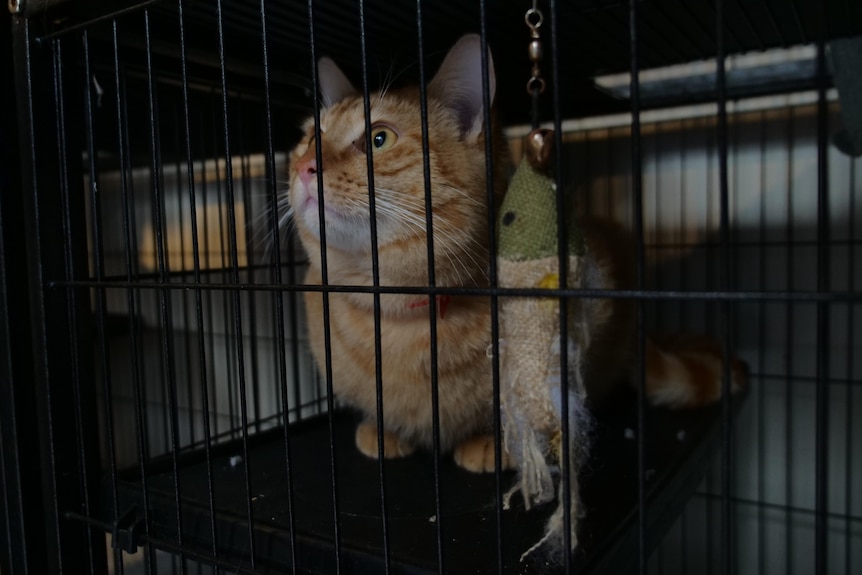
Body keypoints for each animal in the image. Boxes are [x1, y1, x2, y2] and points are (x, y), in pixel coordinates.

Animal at [286, 35, 744, 472]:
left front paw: (499, 443)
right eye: (310, 138)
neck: (400, 313)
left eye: (379, 139)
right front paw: (384, 429)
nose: (305, 166)